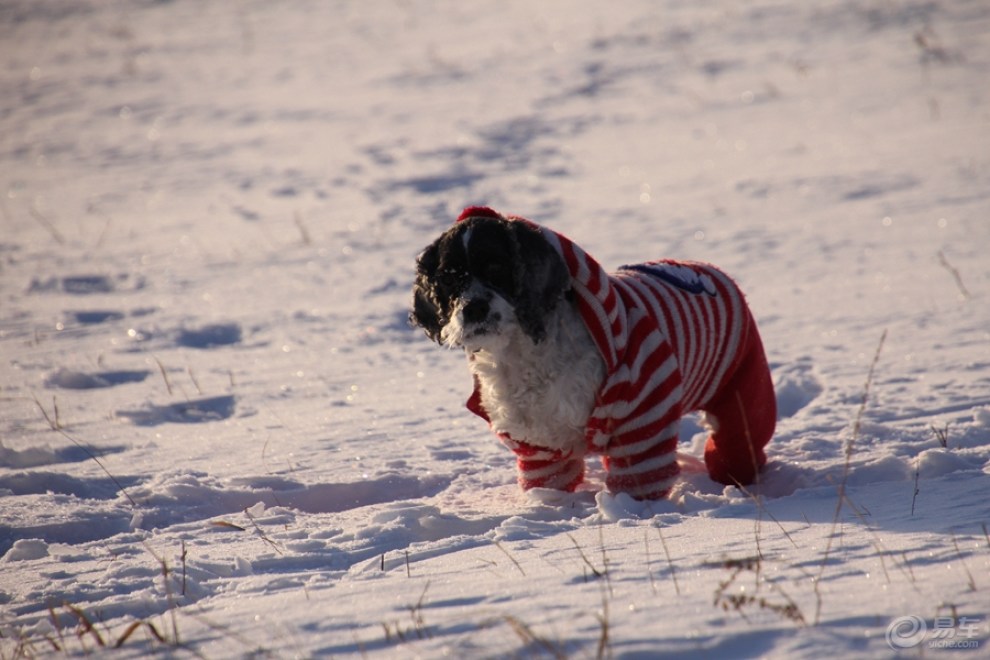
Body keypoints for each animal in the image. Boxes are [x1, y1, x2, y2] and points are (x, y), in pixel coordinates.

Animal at [410, 206, 776, 500]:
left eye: (497, 268)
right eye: (448, 278)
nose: (474, 308)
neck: (523, 351)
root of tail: (710, 271)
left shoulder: (642, 416)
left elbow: (638, 480)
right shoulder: (539, 445)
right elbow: (551, 484)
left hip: (741, 386)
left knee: (740, 437)